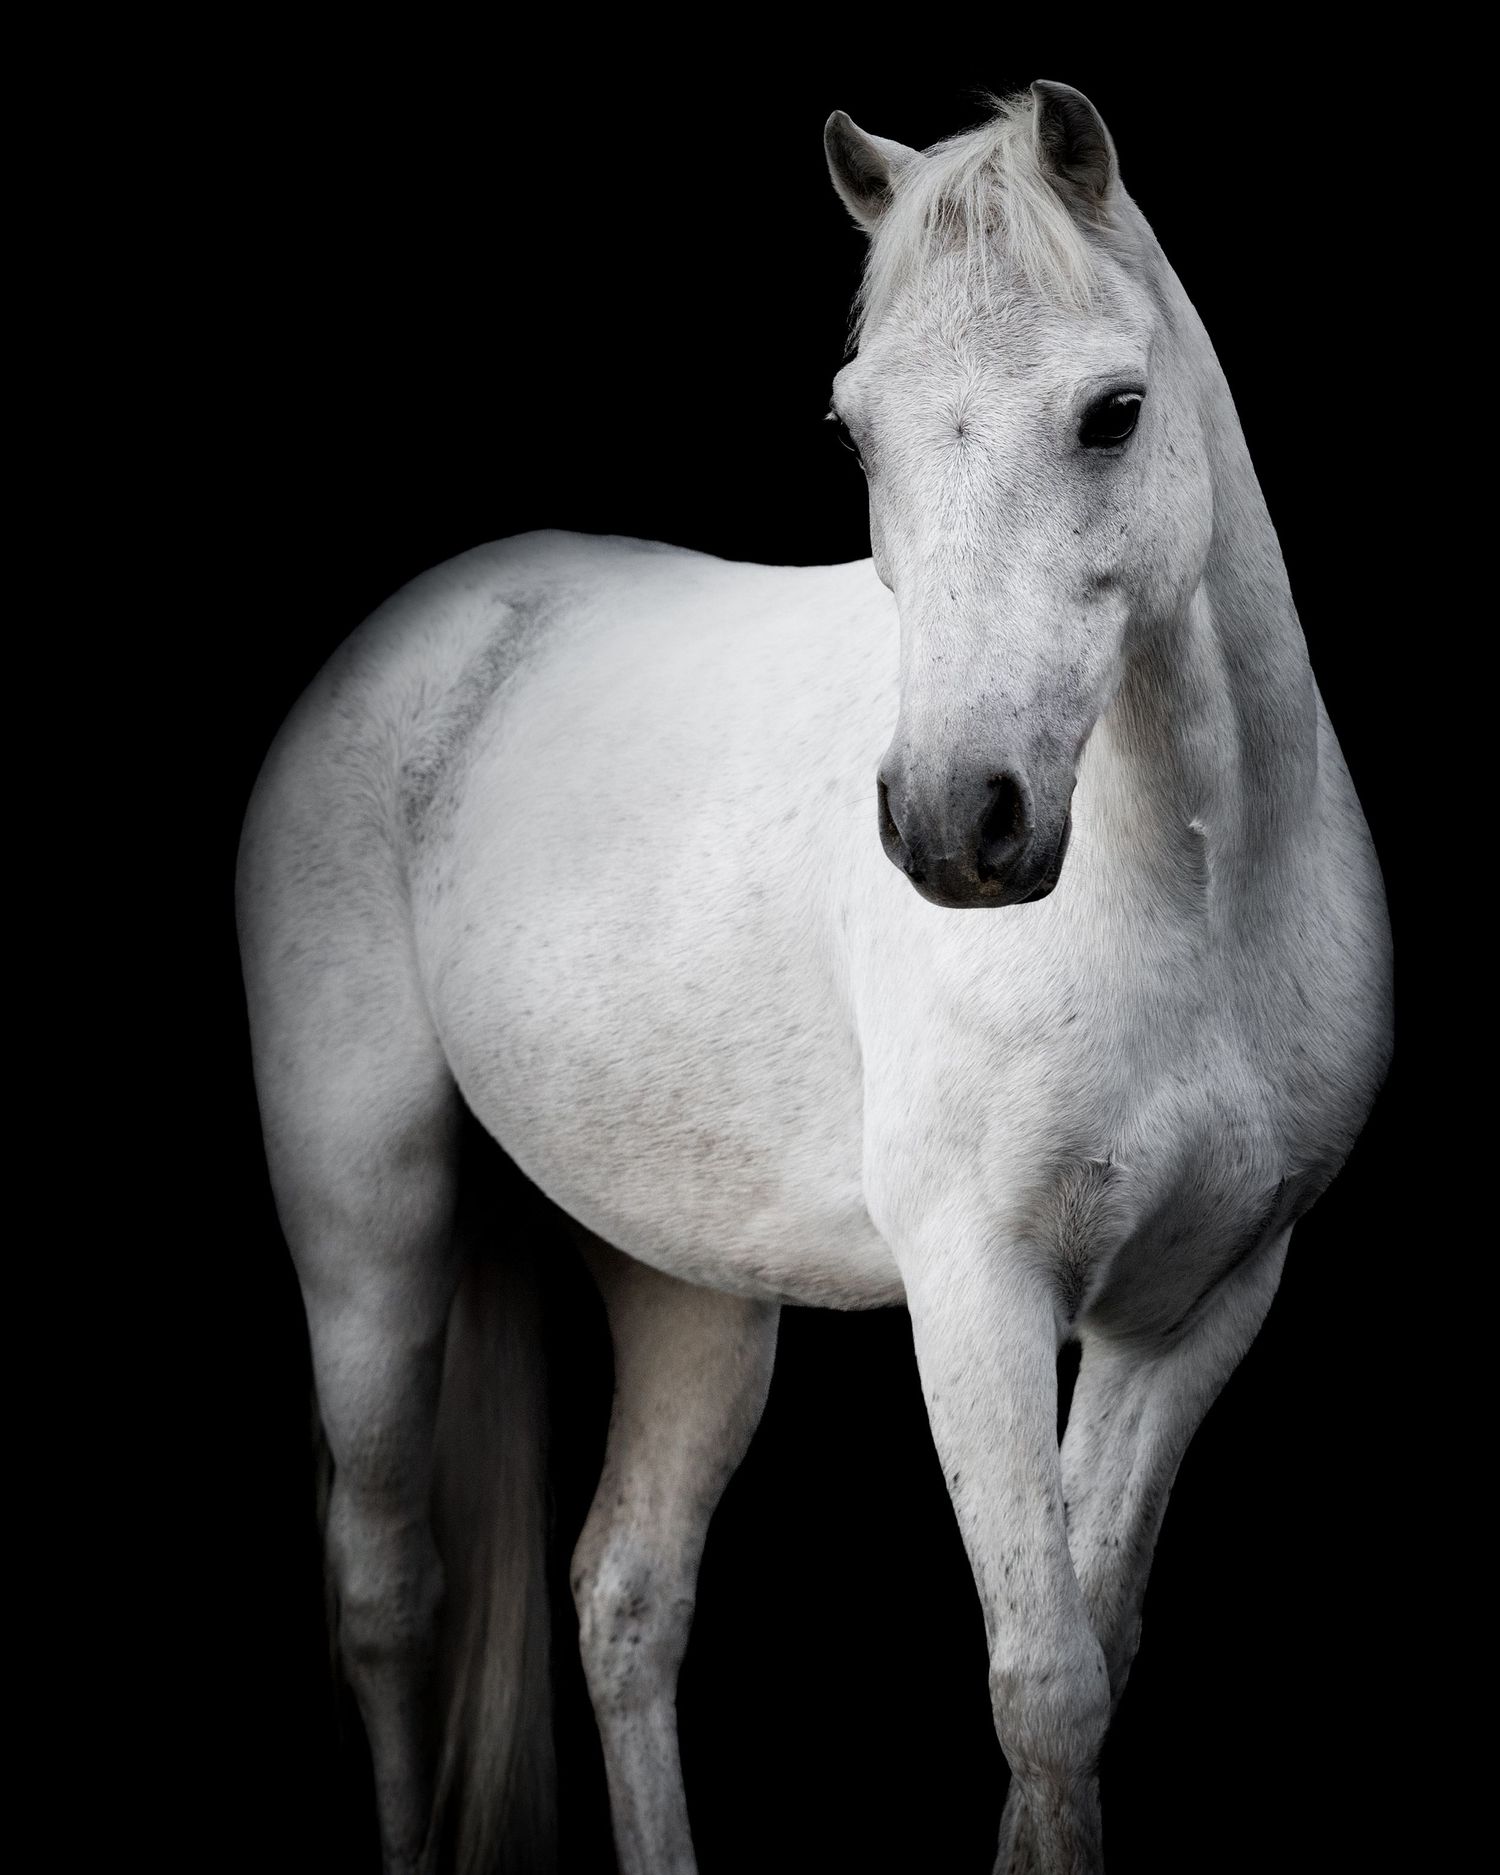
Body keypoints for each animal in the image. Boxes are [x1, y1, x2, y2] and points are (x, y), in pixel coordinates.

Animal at [235, 79, 1393, 1875]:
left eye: (1115, 413)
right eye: (855, 434)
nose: (956, 822)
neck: (1196, 893)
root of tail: (420, 630)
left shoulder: (1202, 1301)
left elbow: (1093, 1657)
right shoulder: (982, 1289)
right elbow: (1044, 1683)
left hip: (687, 1278)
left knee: (625, 1593)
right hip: (367, 1219)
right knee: (387, 1591)